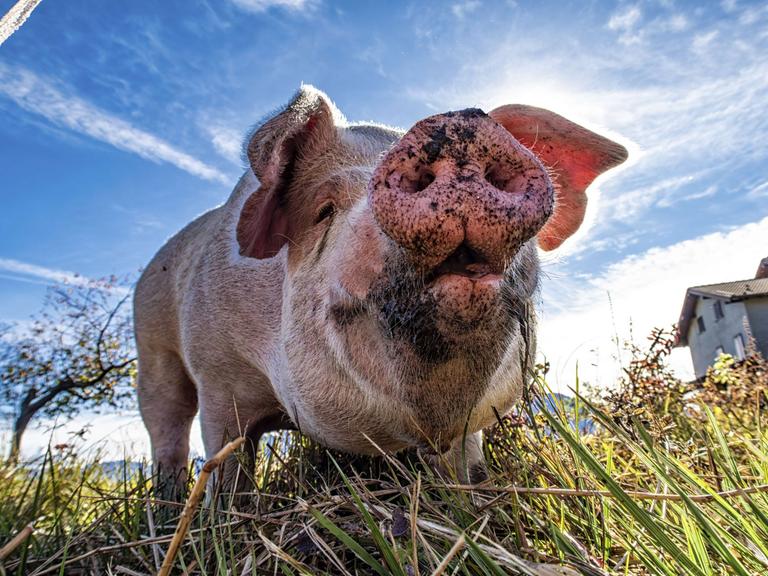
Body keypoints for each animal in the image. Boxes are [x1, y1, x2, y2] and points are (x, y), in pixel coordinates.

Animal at [135, 86, 628, 500]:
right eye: (324, 210)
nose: (453, 125)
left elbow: (464, 466)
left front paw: (469, 500)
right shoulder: (217, 375)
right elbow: (226, 462)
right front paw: (221, 517)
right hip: (153, 353)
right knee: (167, 428)